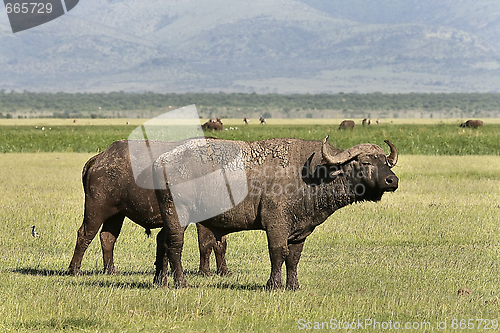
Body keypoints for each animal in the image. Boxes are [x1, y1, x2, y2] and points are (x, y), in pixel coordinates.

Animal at [67, 139, 229, 274]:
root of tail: (101, 157)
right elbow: (206, 243)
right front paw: (206, 271)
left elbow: (221, 244)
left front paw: (224, 271)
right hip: (95, 209)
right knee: (84, 234)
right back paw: (74, 269)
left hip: (117, 214)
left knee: (107, 237)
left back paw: (110, 270)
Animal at [152, 135, 398, 288]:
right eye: (365, 162)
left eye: (386, 161)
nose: (392, 180)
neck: (310, 175)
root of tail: (160, 161)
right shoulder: (276, 224)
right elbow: (278, 252)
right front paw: (274, 284)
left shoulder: (300, 231)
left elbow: (294, 257)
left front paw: (293, 285)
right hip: (178, 216)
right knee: (175, 246)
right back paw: (180, 282)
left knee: (162, 241)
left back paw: (160, 281)